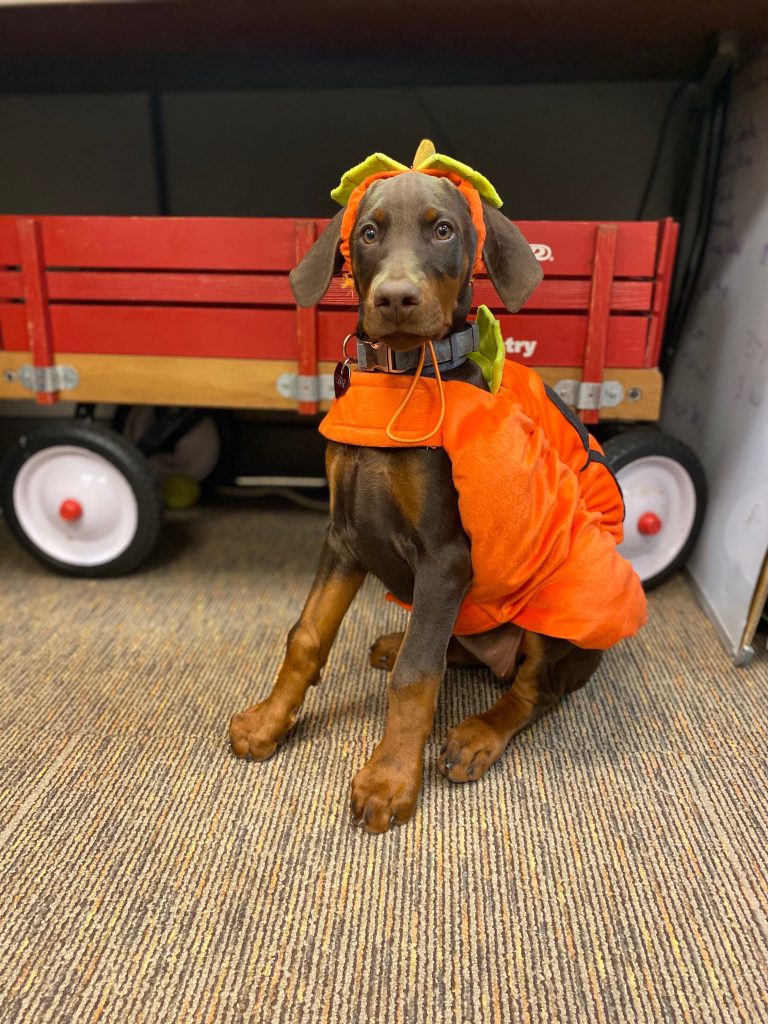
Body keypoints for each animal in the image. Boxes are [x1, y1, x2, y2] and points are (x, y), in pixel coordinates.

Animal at [228, 172, 602, 835]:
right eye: (369, 233)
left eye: (444, 230)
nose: (396, 299)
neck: (400, 377)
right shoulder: (344, 536)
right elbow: (306, 636)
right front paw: (269, 720)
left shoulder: (445, 557)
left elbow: (416, 676)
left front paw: (390, 778)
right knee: (456, 649)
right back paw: (397, 643)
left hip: (553, 615)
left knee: (533, 690)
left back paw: (479, 734)